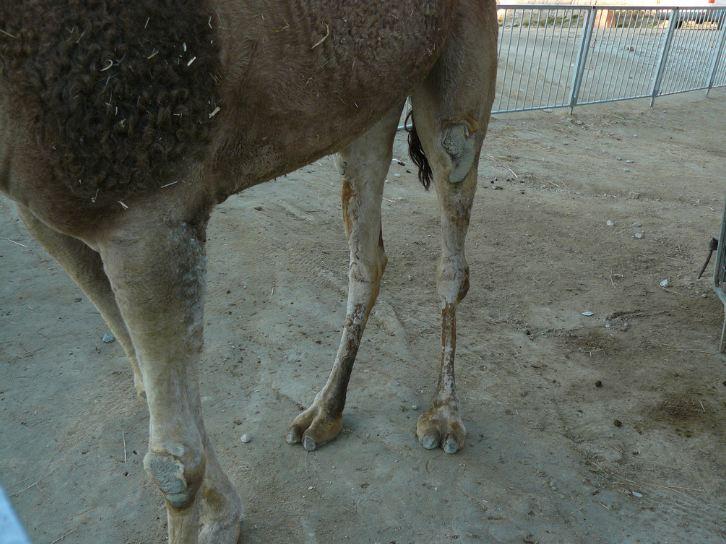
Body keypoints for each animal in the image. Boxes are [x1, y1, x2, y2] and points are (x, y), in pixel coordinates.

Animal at [0, 2, 494, 540]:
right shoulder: (45, 216)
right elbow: (152, 395)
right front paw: (224, 518)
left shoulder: (150, 208)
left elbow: (174, 464)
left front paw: (216, 517)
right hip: (370, 98)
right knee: (366, 259)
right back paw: (323, 414)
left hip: (461, 69)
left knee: (452, 231)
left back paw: (442, 418)